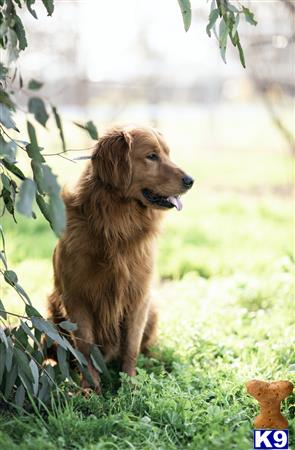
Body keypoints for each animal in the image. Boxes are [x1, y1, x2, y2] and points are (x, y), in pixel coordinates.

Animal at [48, 124, 194, 390]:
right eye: (152, 156)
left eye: (167, 154)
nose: (190, 180)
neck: (117, 225)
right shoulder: (76, 297)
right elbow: (86, 347)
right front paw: (90, 388)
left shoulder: (138, 296)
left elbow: (131, 345)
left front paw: (131, 384)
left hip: (153, 309)